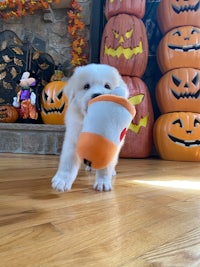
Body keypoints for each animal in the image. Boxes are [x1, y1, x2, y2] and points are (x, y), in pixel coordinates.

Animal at [51, 63, 129, 192]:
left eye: (107, 86)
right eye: (86, 86)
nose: (97, 95)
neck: (89, 119)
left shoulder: (109, 142)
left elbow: (106, 165)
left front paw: (103, 182)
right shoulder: (73, 138)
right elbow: (68, 162)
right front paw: (62, 181)